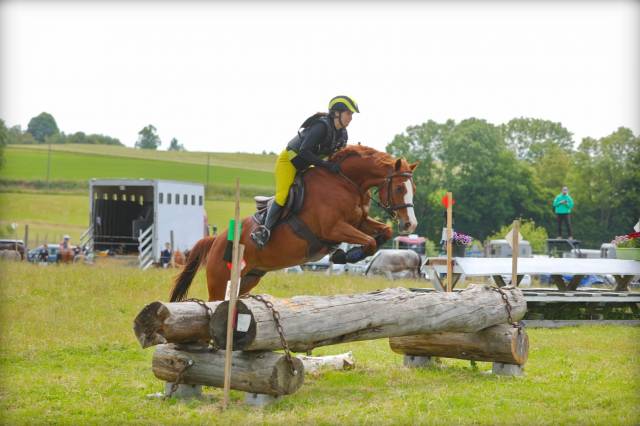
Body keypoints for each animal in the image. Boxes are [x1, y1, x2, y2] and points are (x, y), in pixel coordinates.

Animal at [170, 145, 419, 302]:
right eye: (399, 188)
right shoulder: (333, 228)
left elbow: (383, 232)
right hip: (220, 279)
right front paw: (344, 255)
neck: (346, 183)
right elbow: (369, 241)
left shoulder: (359, 222)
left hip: (248, 278)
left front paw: (347, 254)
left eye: (413, 189)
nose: (410, 225)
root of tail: (215, 239)